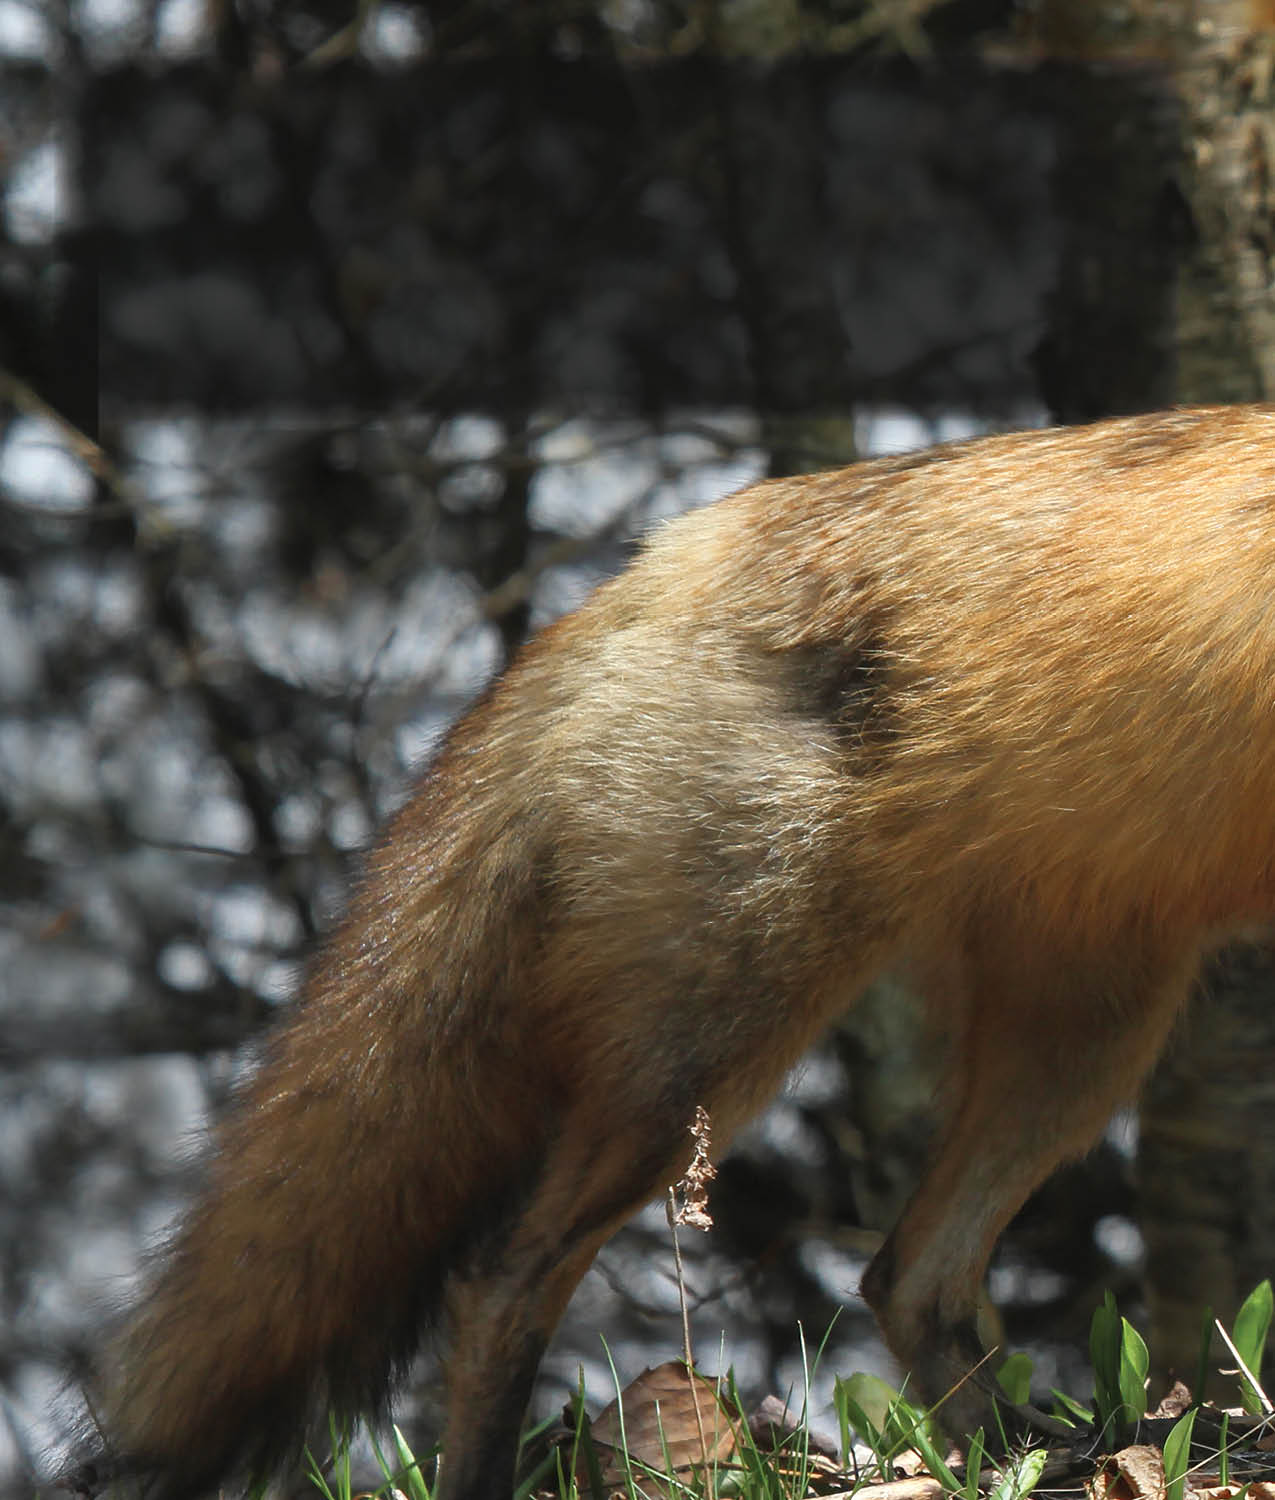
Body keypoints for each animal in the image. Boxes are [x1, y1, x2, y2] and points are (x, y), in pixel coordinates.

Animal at [94, 408, 1272, 1500]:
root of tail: (662, 557)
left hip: (1082, 1040)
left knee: (906, 1278)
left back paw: (1034, 1454)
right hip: (708, 1055)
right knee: (504, 1277)